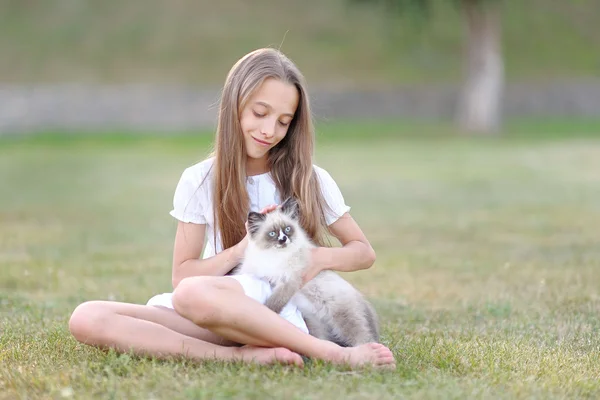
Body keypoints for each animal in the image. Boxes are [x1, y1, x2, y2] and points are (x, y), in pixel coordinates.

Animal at [231, 197, 380, 346]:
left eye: (287, 229)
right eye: (272, 233)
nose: (283, 239)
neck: (275, 255)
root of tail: (360, 298)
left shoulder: (289, 281)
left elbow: (272, 304)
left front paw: (266, 312)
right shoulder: (253, 272)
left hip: (344, 317)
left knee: (364, 338)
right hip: (314, 323)